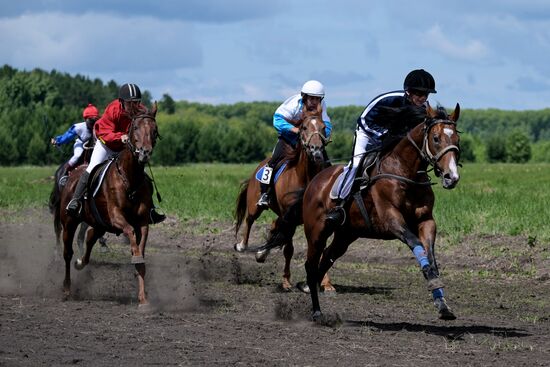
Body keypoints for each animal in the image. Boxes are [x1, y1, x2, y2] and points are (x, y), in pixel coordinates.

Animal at [53, 104, 160, 308]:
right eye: (135, 128)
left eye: (154, 130)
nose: (145, 153)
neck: (130, 178)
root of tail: (75, 173)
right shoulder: (116, 217)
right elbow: (130, 233)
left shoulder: (143, 222)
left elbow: (140, 256)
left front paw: (143, 299)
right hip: (69, 222)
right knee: (67, 252)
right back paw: (66, 289)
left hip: (99, 224)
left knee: (89, 239)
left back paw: (81, 263)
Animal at [234, 105, 332, 292]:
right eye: (304, 127)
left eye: (324, 127)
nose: (316, 149)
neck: (304, 177)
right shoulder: (290, 218)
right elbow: (289, 249)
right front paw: (286, 281)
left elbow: (321, 248)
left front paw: (326, 283)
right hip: (256, 206)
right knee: (250, 220)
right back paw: (243, 245)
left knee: (274, 225)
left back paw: (261, 253)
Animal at [304, 103, 464, 322]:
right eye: (436, 138)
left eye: (457, 139)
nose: (451, 177)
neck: (405, 172)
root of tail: (315, 181)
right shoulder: (392, 219)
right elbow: (416, 243)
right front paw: (432, 281)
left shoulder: (426, 221)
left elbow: (430, 255)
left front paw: (442, 304)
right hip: (316, 232)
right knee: (311, 266)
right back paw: (316, 311)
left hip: (346, 235)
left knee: (327, 257)